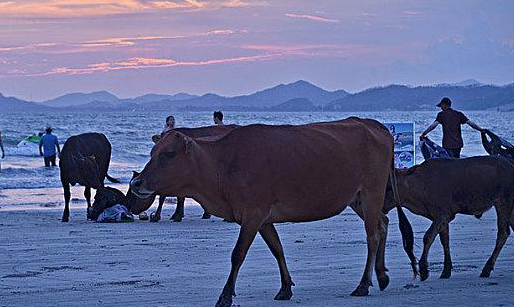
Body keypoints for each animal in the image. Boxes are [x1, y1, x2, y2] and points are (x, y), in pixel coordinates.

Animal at [130, 118, 414, 307]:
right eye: (152, 152)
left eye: (168, 154)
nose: (136, 183)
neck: (222, 164)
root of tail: (372, 124)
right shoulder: (262, 218)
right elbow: (277, 248)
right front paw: (286, 287)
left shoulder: (253, 214)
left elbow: (238, 255)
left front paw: (225, 295)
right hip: (357, 199)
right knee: (383, 224)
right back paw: (381, 275)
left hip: (372, 192)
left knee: (372, 236)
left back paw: (364, 284)